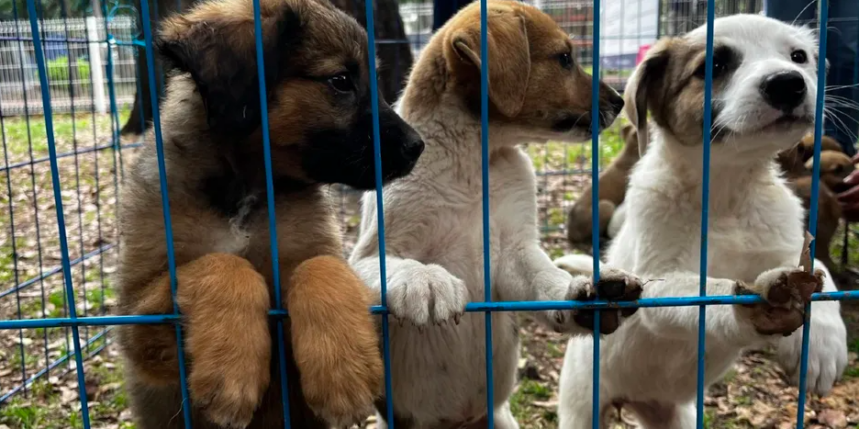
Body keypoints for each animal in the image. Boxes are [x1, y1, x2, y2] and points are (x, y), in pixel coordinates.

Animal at [115, 0, 425, 427]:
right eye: (341, 81)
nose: (417, 146)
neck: (246, 192)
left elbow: (320, 266)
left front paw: (343, 373)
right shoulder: (135, 320)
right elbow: (220, 263)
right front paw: (231, 368)